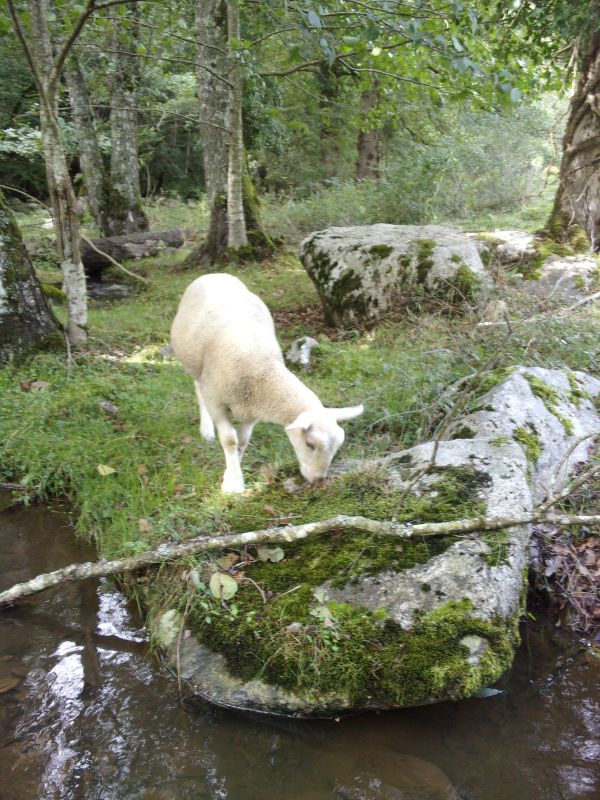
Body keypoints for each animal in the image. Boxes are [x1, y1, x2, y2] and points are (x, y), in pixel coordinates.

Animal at [171, 272, 364, 490]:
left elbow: (242, 440)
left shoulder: (251, 411)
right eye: (310, 444)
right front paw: (233, 484)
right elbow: (229, 440)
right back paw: (206, 430)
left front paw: (232, 471)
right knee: (198, 388)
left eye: (338, 445)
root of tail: (216, 274)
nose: (319, 481)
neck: (261, 371)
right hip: (196, 366)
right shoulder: (217, 402)